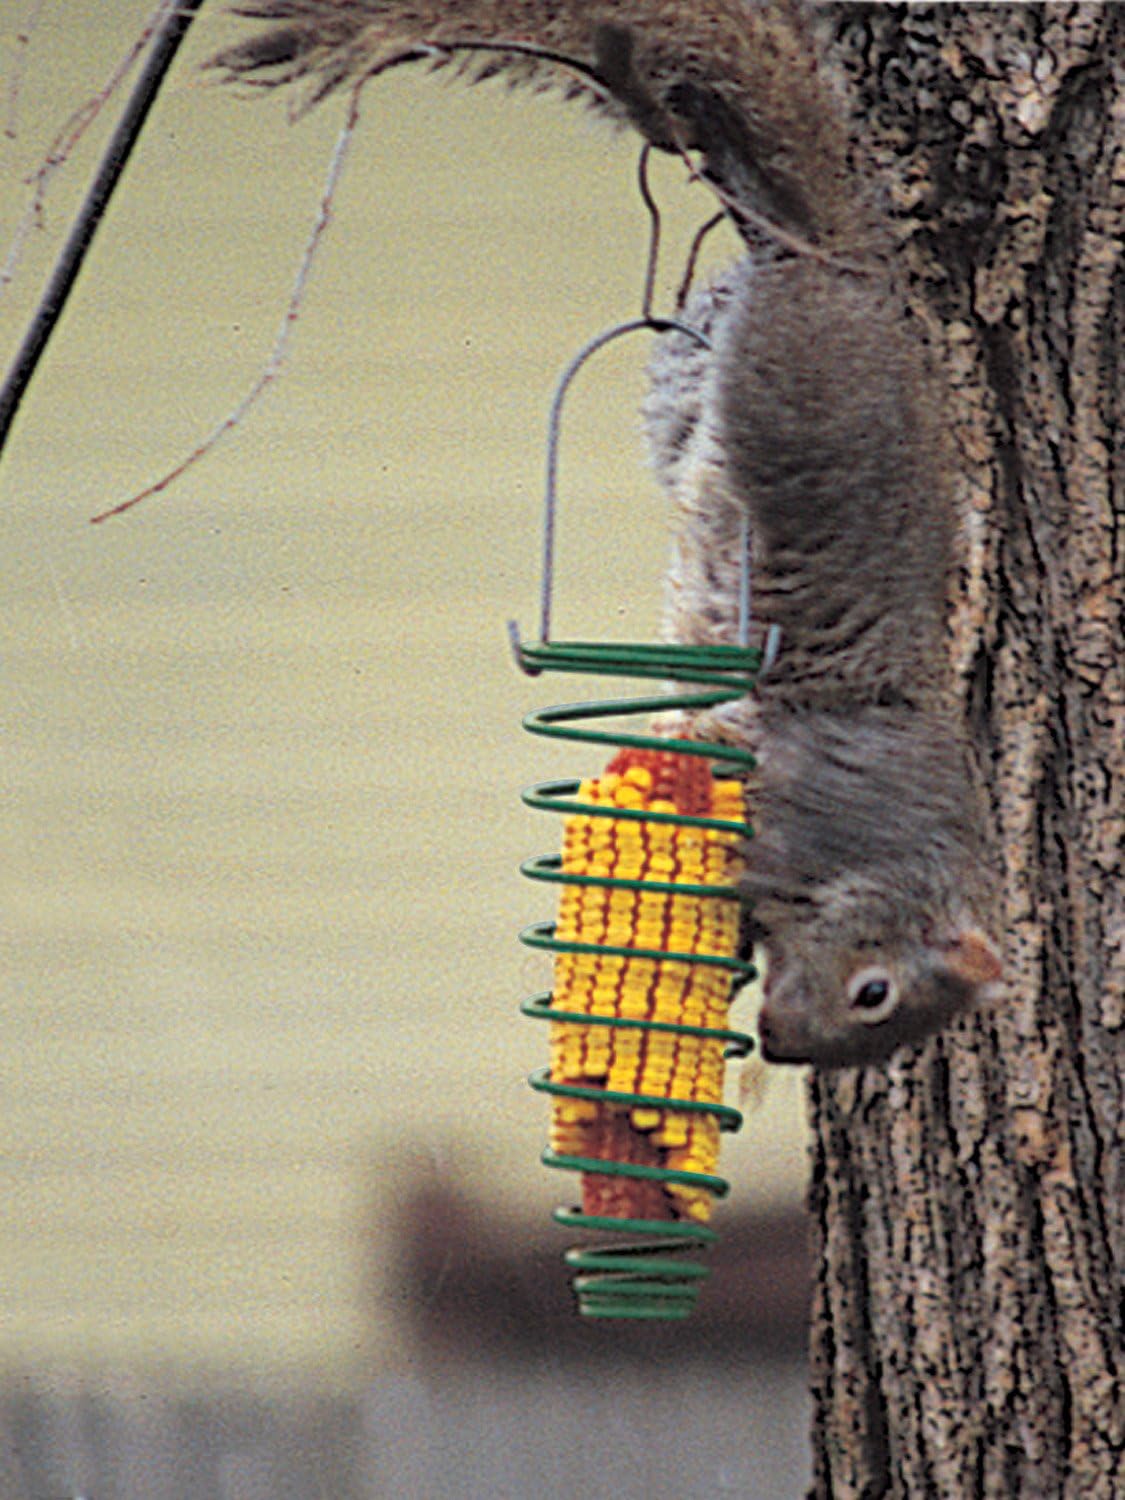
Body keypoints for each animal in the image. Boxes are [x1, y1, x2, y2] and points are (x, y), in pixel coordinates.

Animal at [212, 0, 1004, 1067]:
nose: (781, 1045)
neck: (882, 867)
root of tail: (856, 277)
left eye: (875, 1031)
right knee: (774, 254)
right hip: (778, 386)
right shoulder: (804, 816)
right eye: (874, 992)